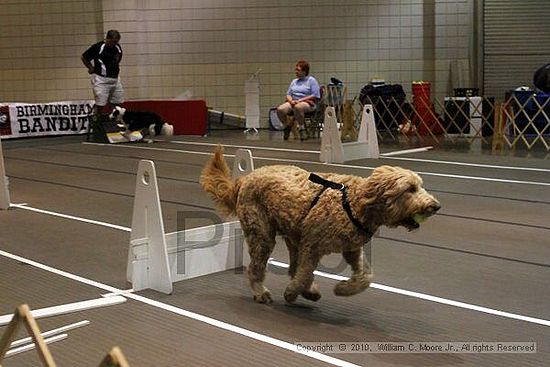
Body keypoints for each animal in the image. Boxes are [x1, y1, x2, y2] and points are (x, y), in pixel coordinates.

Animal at [201, 146, 442, 304]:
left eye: (420, 186)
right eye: (410, 189)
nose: (436, 206)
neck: (355, 202)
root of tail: (245, 178)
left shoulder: (351, 248)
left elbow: (366, 277)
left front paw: (344, 288)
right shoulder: (312, 246)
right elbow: (305, 273)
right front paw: (291, 292)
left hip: (292, 234)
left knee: (293, 267)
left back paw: (307, 291)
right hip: (262, 235)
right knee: (257, 269)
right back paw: (262, 292)